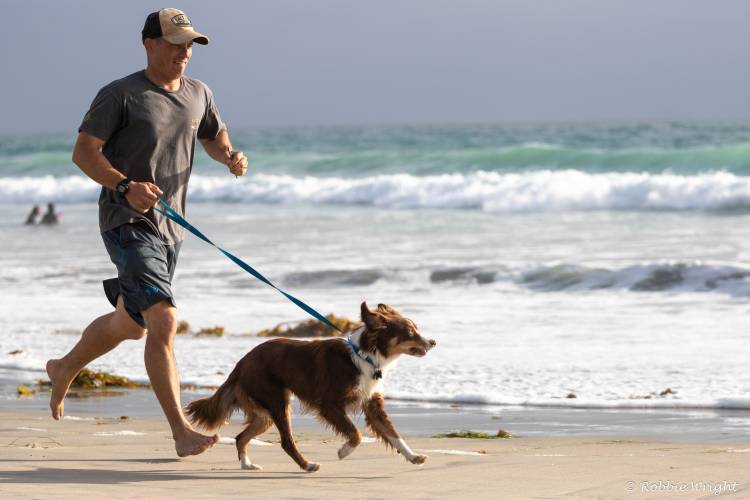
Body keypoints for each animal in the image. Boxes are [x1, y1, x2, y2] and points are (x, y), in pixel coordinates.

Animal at [184, 300, 438, 472]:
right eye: (410, 332)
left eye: (416, 328)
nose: (433, 341)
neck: (364, 356)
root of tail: (242, 362)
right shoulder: (330, 405)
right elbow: (355, 434)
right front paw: (344, 451)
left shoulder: (371, 404)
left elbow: (394, 434)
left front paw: (414, 457)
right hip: (277, 400)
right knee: (286, 441)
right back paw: (307, 465)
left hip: (264, 414)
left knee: (240, 437)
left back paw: (247, 465)